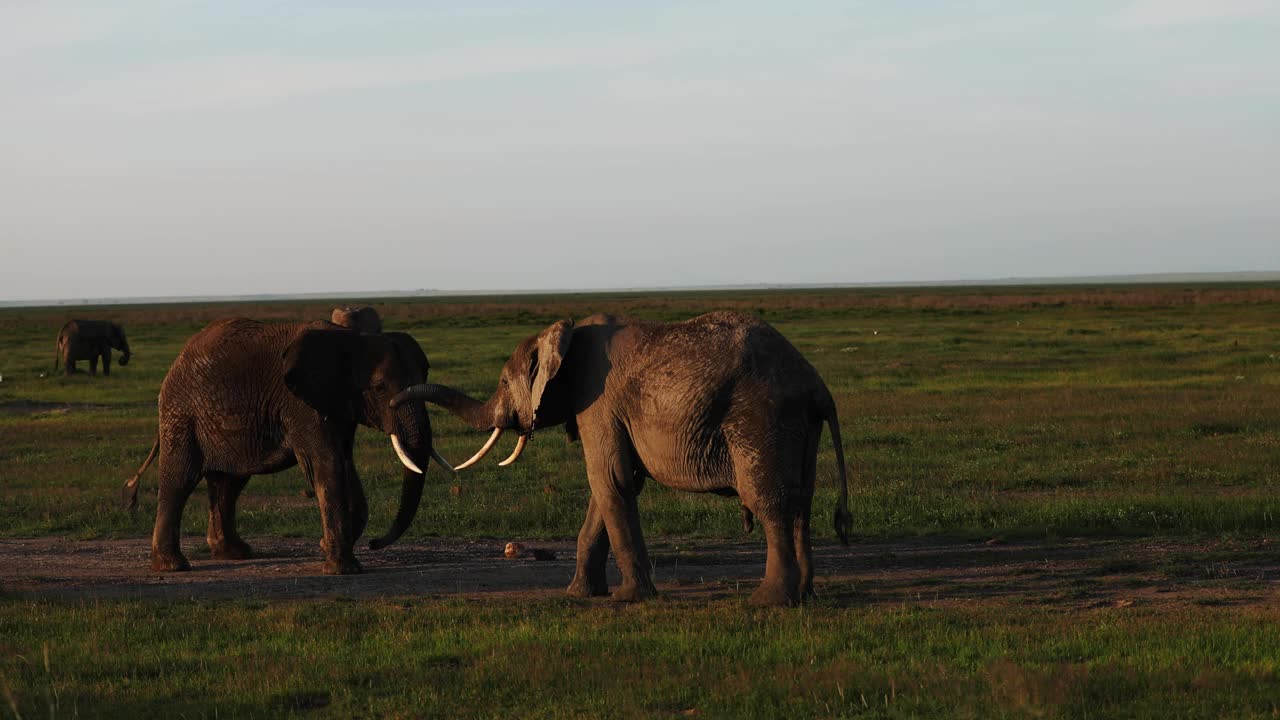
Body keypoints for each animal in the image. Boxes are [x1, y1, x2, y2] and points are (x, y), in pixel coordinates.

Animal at [120, 316, 450, 573]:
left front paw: (329, 546)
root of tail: (178, 359)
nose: (373, 543)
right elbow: (326, 464)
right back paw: (173, 565)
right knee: (180, 480)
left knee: (229, 482)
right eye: (380, 388)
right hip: (181, 414)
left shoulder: (338, 404)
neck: (350, 341)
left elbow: (345, 463)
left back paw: (235, 553)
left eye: (425, 374)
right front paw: (343, 568)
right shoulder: (300, 405)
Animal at [394, 311, 855, 602]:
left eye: (505, 382)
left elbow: (609, 479)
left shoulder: (598, 401)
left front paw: (630, 598)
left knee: (770, 502)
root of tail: (818, 387)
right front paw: (579, 596)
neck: (566, 334)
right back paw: (805, 594)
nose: (395, 399)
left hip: (761, 416)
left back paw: (769, 601)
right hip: (798, 425)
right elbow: (612, 487)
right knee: (801, 502)